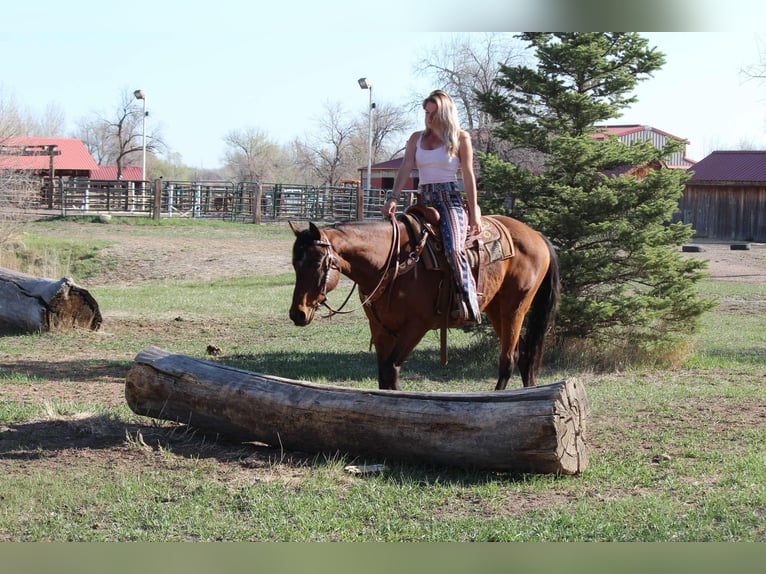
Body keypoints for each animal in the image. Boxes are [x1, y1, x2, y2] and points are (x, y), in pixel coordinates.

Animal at [288, 213, 560, 391]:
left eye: (316, 263)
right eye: (294, 263)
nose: (297, 314)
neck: (392, 262)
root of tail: (536, 235)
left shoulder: (416, 327)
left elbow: (391, 371)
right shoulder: (380, 329)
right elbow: (384, 376)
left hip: (515, 306)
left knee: (508, 359)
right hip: (495, 308)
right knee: (524, 354)